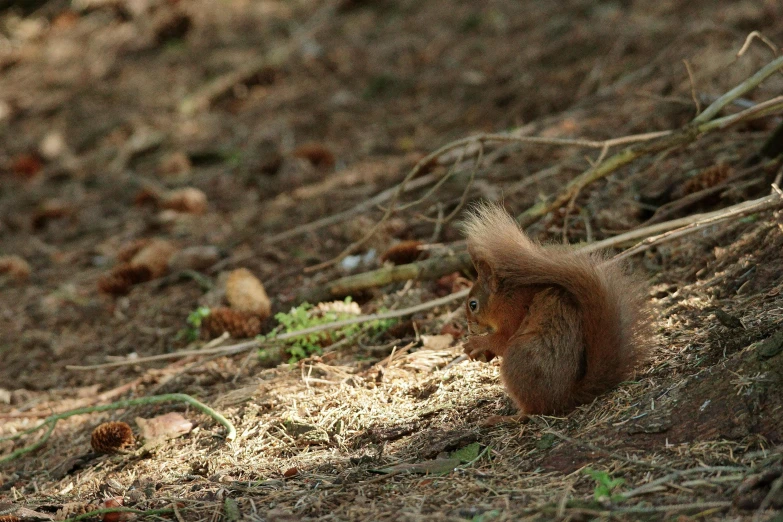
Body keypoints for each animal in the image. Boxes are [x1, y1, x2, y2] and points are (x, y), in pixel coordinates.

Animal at [460, 201, 648, 416]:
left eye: (473, 305)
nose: (470, 328)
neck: (505, 297)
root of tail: (565, 397)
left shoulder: (512, 315)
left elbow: (500, 340)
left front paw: (474, 343)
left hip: (518, 358)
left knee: (533, 410)